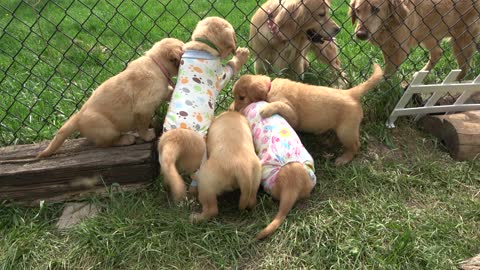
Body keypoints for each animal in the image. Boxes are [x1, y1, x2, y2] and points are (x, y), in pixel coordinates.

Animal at [37, 37, 184, 157]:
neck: (156, 64)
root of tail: (77, 118)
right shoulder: (143, 108)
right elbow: (142, 126)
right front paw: (148, 136)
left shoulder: (162, 92)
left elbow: (169, 91)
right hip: (107, 129)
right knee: (105, 144)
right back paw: (126, 139)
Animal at [158, 16, 249, 201]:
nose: (237, 45)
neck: (202, 45)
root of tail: (173, 140)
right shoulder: (222, 75)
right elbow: (232, 65)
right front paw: (241, 54)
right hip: (201, 155)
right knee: (195, 176)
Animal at [232, 64, 382, 166]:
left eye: (241, 97)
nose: (233, 109)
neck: (270, 87)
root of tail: (350, 93)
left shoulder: (292, 114)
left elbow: (279, 105)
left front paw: (266, 109)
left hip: (346, 131)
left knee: (355, 145)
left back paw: (344, 158)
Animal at [348, 0, 480, 79]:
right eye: (357, 10)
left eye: (375, 9)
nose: (360, 34)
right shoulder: (387, 47)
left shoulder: (399, 51)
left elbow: (388, 73)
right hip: (428, 34)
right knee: (438, 53)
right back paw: (421, 73)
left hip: (462, 39)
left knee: (463, 69)